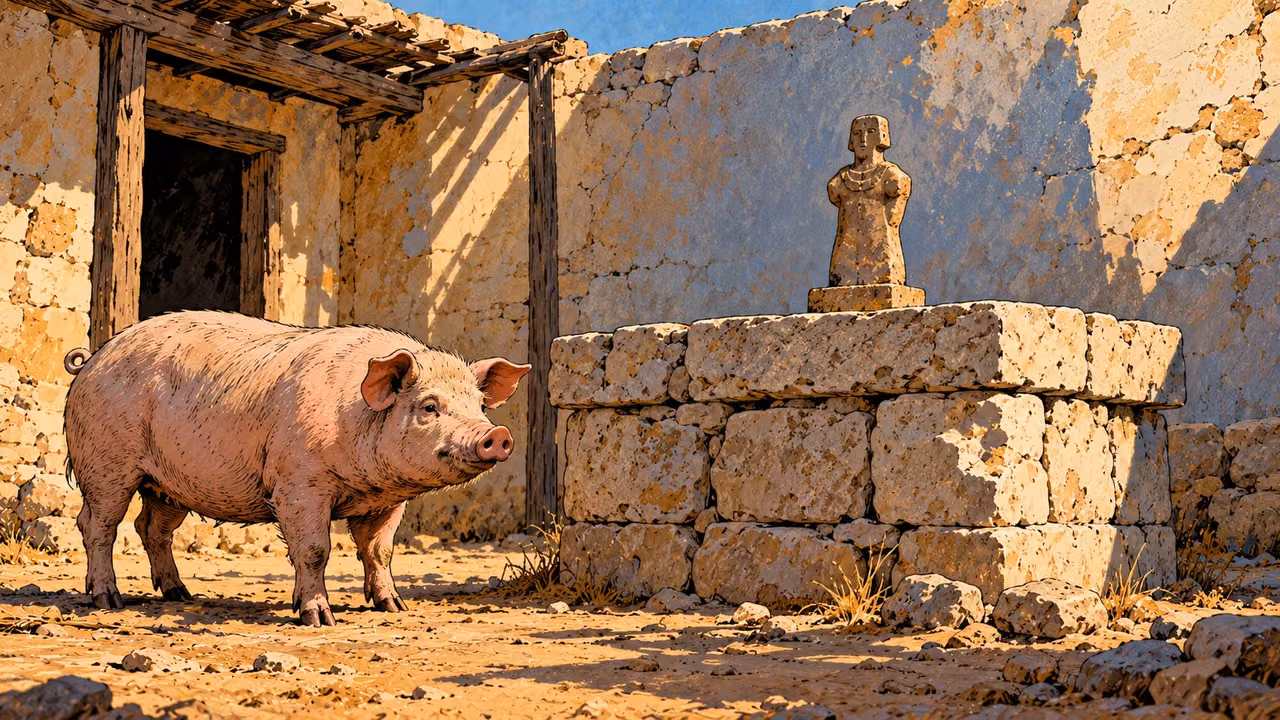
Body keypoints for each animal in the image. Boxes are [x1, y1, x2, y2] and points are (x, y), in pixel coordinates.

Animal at [62, 310, 530, 626]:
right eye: (430, 406)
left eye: (480, 405)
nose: (497, 433)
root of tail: (94, 358)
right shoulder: (298, 486)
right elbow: (314, 550)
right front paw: (319, 618)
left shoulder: (387, 502)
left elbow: (379, 551)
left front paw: (395, 607)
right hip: (105, 461)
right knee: (97, 525)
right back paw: (108, 599)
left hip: (168, 483)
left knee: (151, 528)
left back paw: (180, 595)